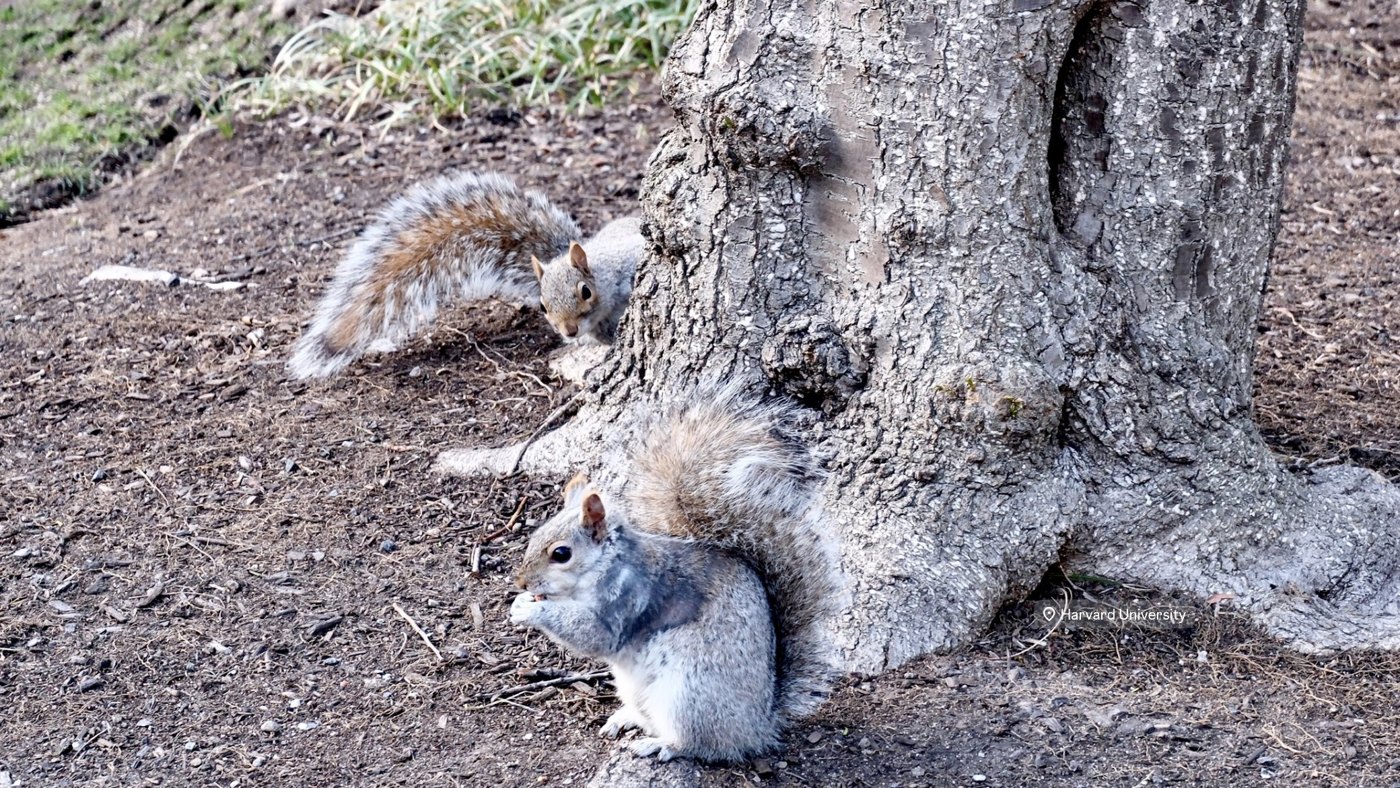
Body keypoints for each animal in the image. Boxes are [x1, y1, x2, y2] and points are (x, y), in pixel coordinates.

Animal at [509, 394, 844, 762]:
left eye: (561, 554)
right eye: (534, 535)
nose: (522, 583)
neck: (601, 568)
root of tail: (758, 726)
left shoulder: (628, 599)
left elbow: (595, 636)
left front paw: (530, 610)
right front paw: (522, 601)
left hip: (690, 694)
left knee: (701, 744)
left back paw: (662, 745)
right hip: (638, 689)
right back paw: (626, 718)